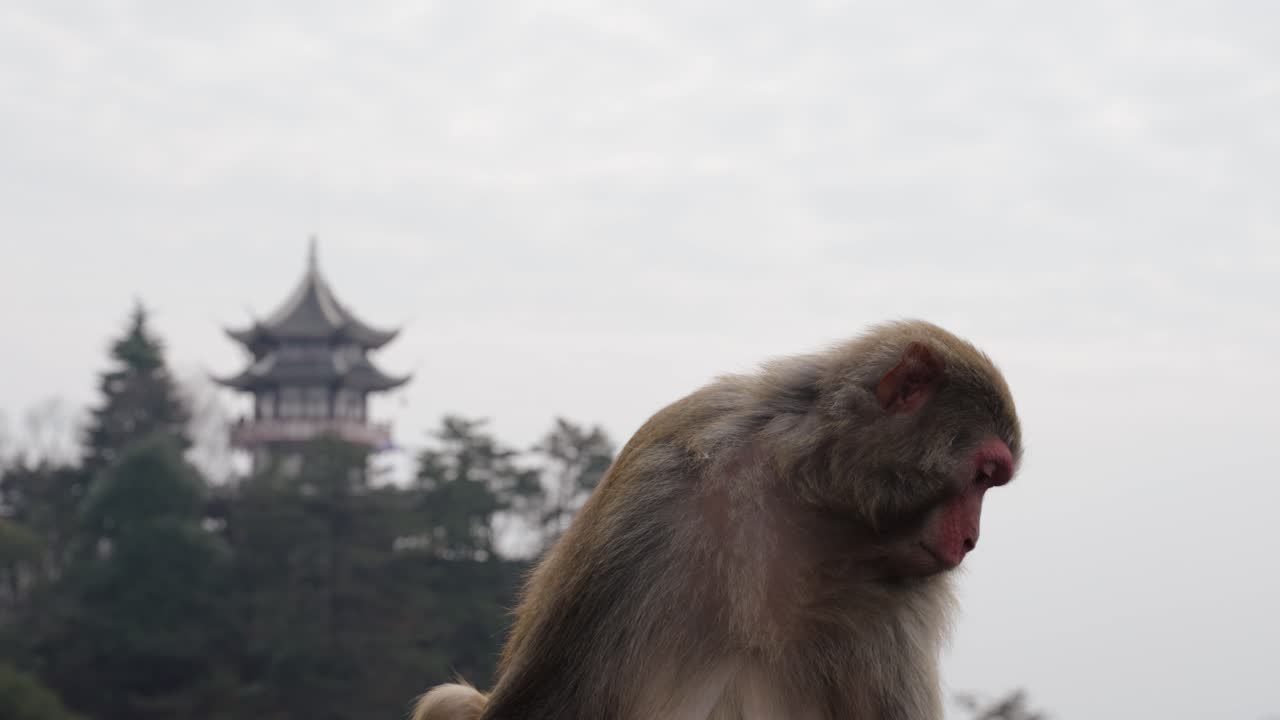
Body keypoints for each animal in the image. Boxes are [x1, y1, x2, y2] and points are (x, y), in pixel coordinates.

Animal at [412, 319, 1022, 720]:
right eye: (982, 475)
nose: (971, 539)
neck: (813, 505)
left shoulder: (904, 591)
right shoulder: (655, 496)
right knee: (451, 701)